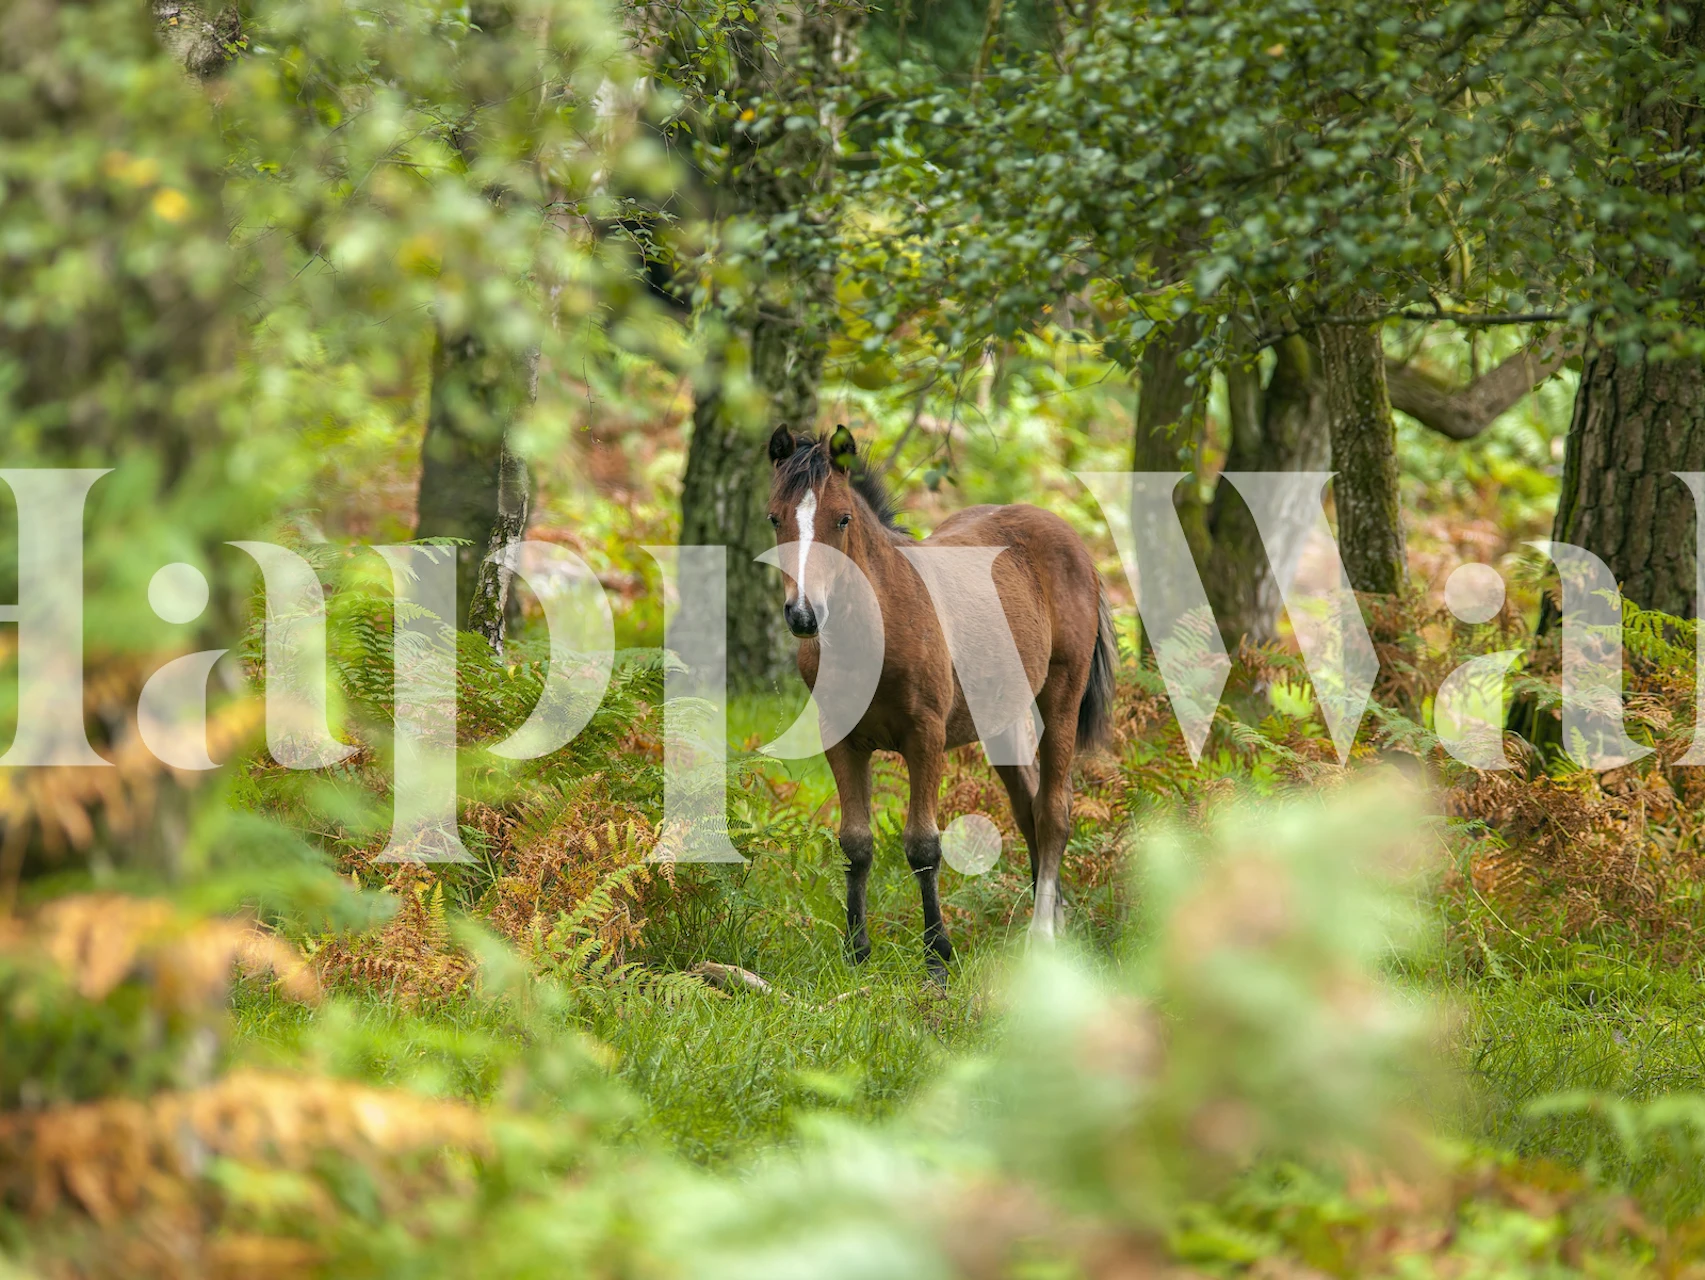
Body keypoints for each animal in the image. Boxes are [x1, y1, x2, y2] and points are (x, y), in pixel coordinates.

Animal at [765, 423, 1116, 978]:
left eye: (841, 518)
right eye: (774, 517)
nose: (804, 615)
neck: (877, 625)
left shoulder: (925, 737)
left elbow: (923, 845)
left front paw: (937, 957)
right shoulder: (840, 741)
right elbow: (855, 843)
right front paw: (857, 953)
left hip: (1060, 697)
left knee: (1053, 812)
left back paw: (1042, 935)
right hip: (1000, 721)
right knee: (1028, 808)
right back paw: (1055, 922)